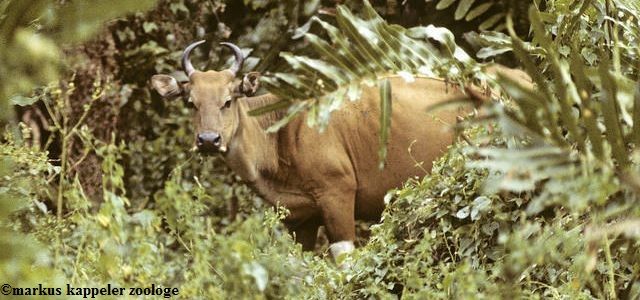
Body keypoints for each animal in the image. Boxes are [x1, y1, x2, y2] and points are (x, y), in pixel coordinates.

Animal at [149, 41, 470, 262]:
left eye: (228, 101)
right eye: (191, 102)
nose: (208, 140)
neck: (281, 134)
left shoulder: (337, 194)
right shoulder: (299, 217)